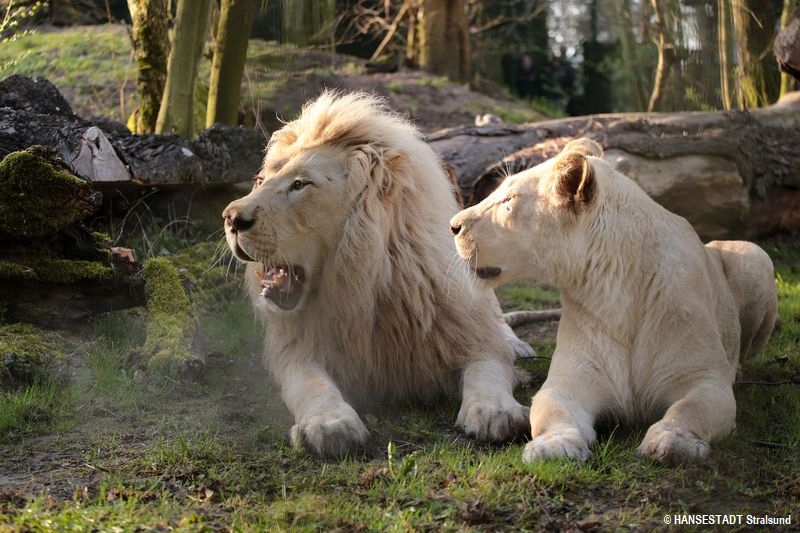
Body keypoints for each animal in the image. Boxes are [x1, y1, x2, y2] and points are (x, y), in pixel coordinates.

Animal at [222, 92, 532, 458]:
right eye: (259, 182)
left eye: (300, 184)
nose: (230, 218)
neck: (367, 280)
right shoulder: (299, 348)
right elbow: (312, 385)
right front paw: (329, 424)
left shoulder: (469, 332)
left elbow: (490, 369)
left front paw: (497, 411)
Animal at [449, 138, 777, 465]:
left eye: (509, 201)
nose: (452, 225)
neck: (614, 289)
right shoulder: (570, 379)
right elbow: (549, 409)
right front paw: (554, 446)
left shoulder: (701, 378)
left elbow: (691, 408)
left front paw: (671, 442)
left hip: (756, 256)